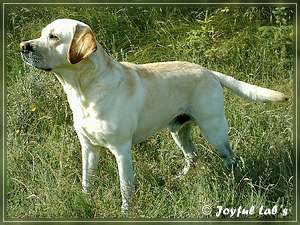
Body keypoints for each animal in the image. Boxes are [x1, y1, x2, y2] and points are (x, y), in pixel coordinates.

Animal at [19, 18, 288, 214]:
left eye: (53, 37)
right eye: (42, 34)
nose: (23, 46)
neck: (85, 91)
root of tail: (209, 71)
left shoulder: (121, 150)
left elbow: (125, 187)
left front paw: (126, 212)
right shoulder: (88, 147)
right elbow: (87, 179)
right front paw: (85, 199)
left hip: (215, 130)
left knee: (230, 157)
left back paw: (231, 179)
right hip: (178, 131)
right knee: (192, 155)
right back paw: (180, 177)